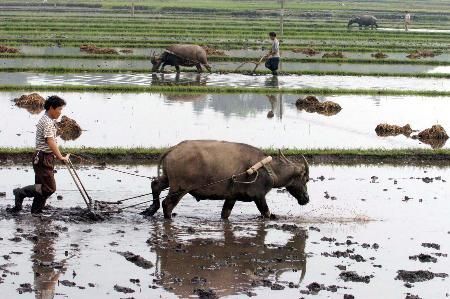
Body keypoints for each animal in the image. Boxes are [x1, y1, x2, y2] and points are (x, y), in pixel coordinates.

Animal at [142, 141, 310, 220]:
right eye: (306, 179)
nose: (306, 199)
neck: (268, 169)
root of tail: (173, 149)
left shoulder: (231, 197)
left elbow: (225, 214)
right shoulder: (259, 197)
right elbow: (266, 213)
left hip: (168, 179)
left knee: (155, 185)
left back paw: (150, 209)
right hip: (179, 188)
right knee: (167, 204)